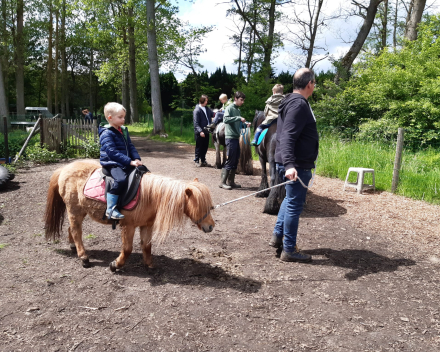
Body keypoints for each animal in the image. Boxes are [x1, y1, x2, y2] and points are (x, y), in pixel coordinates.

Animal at [44, 161, 215, 270]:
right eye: (201, 206)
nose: (211, 226)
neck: (149, 196)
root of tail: (64, 168)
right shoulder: (128, 226)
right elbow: (127, 249)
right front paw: (115, 265)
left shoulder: (146, 225)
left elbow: (147, 246)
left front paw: (150, 265)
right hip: (74, 210)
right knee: (76, 231)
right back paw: (84, 258)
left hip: (80, 211)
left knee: (71, 229)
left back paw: (73, 247)